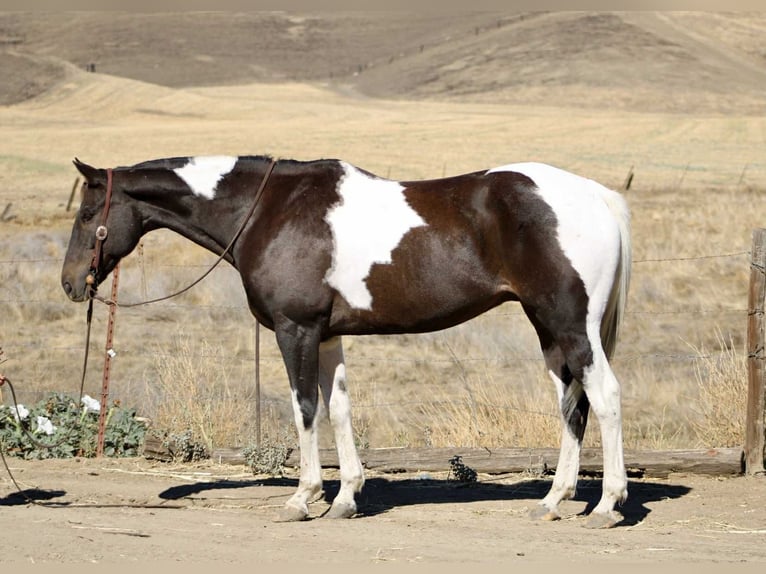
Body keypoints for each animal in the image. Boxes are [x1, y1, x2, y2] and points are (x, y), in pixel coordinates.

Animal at [61, 155, 631, 528]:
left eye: (88, 215)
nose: (70, 284)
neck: (268, 209)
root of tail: (599, 196)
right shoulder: (328, 335)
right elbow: (338, 410)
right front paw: (345, 499)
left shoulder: (296, 329)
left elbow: (304, 409)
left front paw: (302, 498)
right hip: (549, 330)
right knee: (572, 406)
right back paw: (554, 501)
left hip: (570, 325)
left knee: (603, 398)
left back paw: (607, 506)